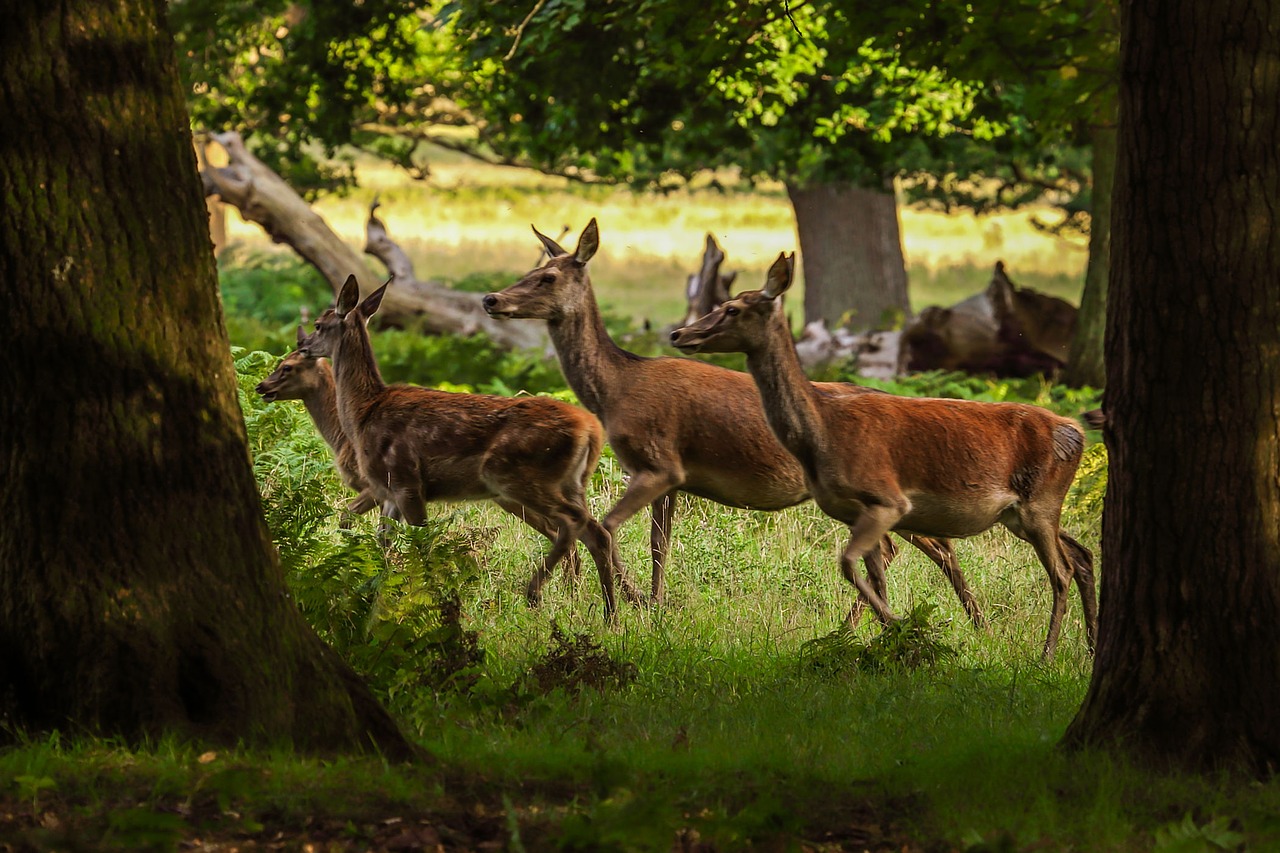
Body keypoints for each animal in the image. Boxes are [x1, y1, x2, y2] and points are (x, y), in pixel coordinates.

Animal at [304, 275, 614, 614]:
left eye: (319, 324)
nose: (302, 347)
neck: (364, 412)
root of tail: (591, 428)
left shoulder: (406, 480)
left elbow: (422, 543)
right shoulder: (388, 492)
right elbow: (384, 544)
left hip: (516, 475)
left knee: (573, 522)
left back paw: (535, 592)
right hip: (569, 481)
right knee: (597, 531)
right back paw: (610, 613)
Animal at [481, 216, 977, 625]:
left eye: (546, 277)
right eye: (526, 273)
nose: (490, 298)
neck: (617, 386)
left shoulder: (658, 462)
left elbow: (609, 527)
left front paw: (636, 602)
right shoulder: (671, 477)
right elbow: (659, 544)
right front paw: (655, 604)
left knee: (922, 546)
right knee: (923, 546)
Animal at [670, 252, 1100, 655]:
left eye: (732, 308)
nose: (678, 333)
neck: (822, 432)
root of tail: (1075, 431)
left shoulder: (887, 500)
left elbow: (848, 565)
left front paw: (901, 629)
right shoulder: (856, 511)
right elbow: (873, 575)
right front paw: (891, 639)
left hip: (1039, 503)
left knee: (1060, 572)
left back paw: (1047, 654)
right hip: (1021, 514)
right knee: (1080, 554)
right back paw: (1090, 644)